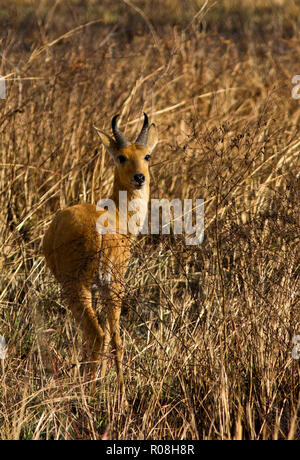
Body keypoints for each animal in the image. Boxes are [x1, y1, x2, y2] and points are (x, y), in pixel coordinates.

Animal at [43, 112, 159, 392]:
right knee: (114, 335)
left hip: (77, 289)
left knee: (94, 334)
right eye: (122, 156)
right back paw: (118, 392)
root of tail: (102, 235)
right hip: (113, 286)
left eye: (147, 156)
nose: (140, 178)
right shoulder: (103, 289)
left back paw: (88, 389)